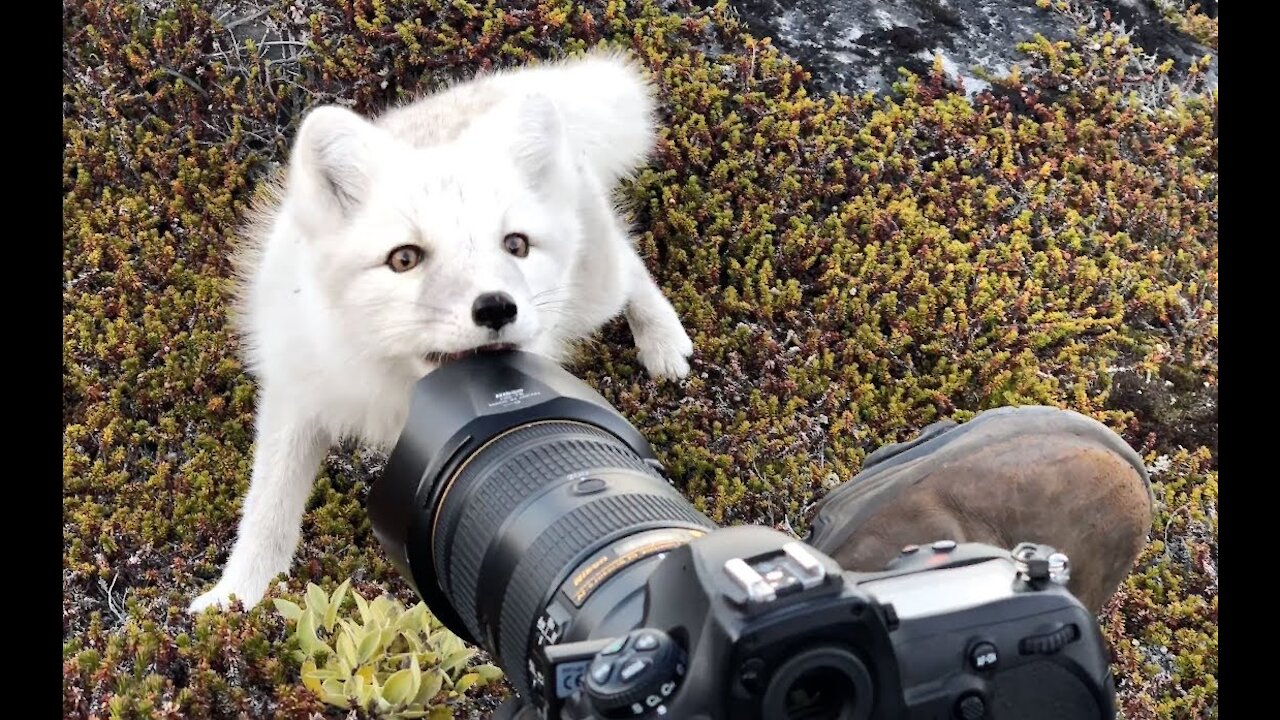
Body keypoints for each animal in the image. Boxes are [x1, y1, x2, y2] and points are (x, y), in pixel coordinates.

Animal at [185, 49, 696, 609]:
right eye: (404, 258)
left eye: (515, 245)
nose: (496, 307)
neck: (397, 384)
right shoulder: (296, 398)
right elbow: (267, 512)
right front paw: (236, 600)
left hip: (593, 295)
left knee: (629, 262)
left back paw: (662, 341)